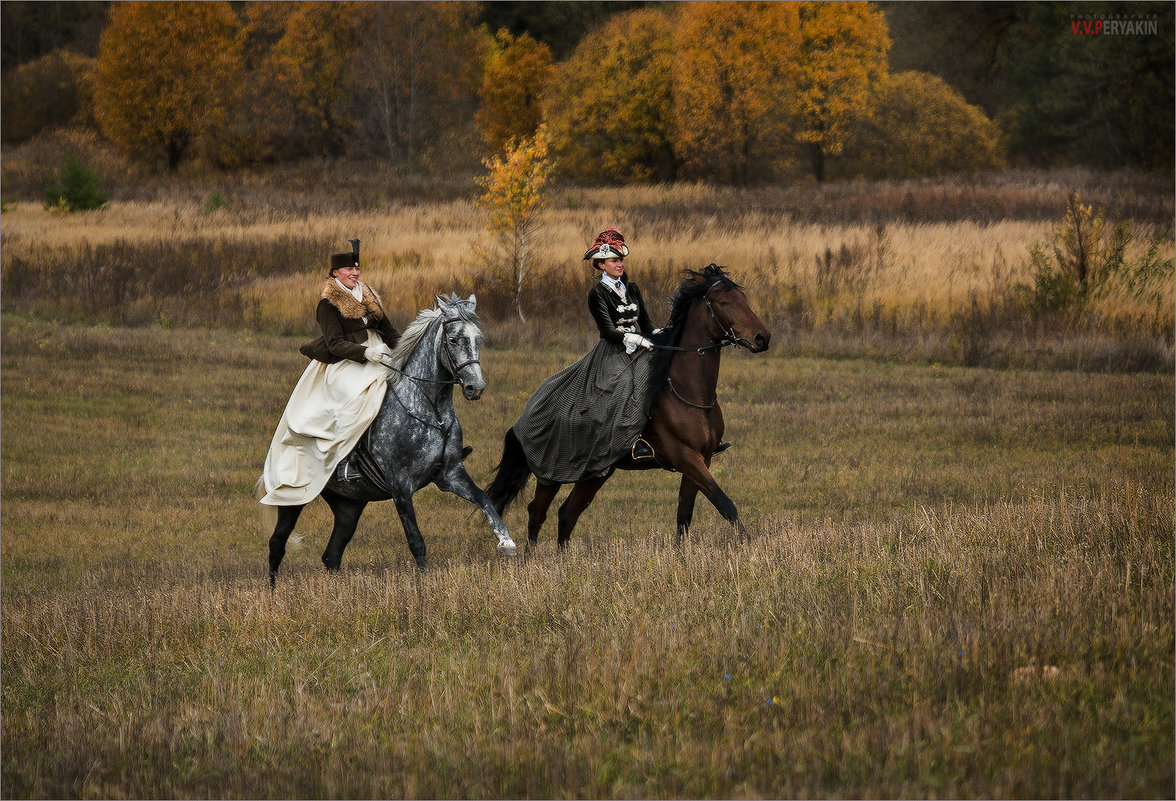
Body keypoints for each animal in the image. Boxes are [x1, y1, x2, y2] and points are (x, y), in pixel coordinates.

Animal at [266, 294, 515, 581]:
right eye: (453, 340)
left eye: (479, 339)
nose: (476, 388)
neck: (433, 412)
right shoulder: (400, 486)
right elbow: (416, 541)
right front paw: (424, 584)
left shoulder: (450, 474)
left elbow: (484, 498)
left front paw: (506, 543)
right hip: (295, 498)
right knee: (277, 544)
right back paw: (272, 590)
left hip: (349, 505)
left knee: (332, 555)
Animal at [484, 265, 771, 545]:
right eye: (723, 302)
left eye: (743, 299)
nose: (763, 338)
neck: (688, 391)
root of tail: (530, 406)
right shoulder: (686, 457)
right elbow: (725, 504)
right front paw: (749, 546)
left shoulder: (703, 458)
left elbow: (684, 513)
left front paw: (682, 554)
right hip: (552, 470)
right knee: (537, 512)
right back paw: (530, 558)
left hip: (596, 472)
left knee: (567, 513)